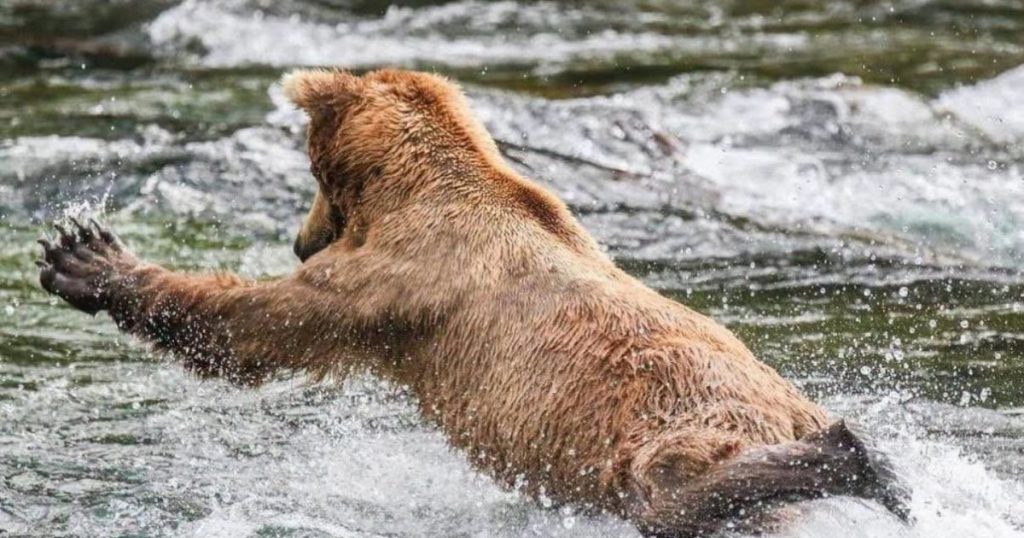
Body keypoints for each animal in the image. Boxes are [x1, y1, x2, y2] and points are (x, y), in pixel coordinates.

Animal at [37, 68, 908, 537]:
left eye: (313, 175)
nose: (299, 240)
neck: (414, 188)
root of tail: (793, 409)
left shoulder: (399, 281)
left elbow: (255, 326)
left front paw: (85, 258)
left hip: (677, 414)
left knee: (669, 483)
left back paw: (857, 459)